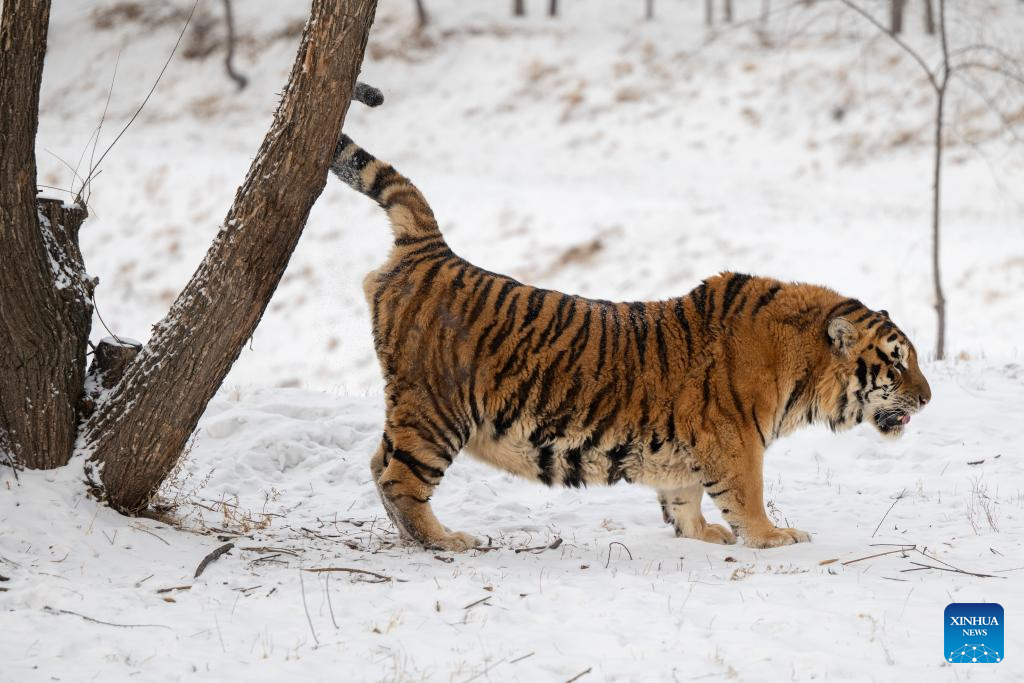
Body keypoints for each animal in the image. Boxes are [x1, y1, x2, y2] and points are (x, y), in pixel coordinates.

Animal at [329, 133, 932, 551]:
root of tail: (432, 250)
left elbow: (684, 494)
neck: (802, 371)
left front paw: (700, 533)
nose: (928, 399)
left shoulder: (692, 448)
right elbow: (748, 495)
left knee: (378, 463)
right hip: (437, 408)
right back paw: (445, 541)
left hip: (417, 409)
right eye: (896, 362)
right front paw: (774, 537)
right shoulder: (737, 440)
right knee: (400, 477)